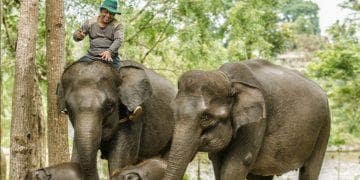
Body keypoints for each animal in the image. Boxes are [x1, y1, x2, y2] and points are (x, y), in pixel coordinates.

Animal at [163, 59, 330, 180]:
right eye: (173, 112)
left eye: (206, 117)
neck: (228, 80)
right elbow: (218, 164)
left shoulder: (256, 123)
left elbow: (235, 167)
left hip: (324, 127)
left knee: (310, 170)